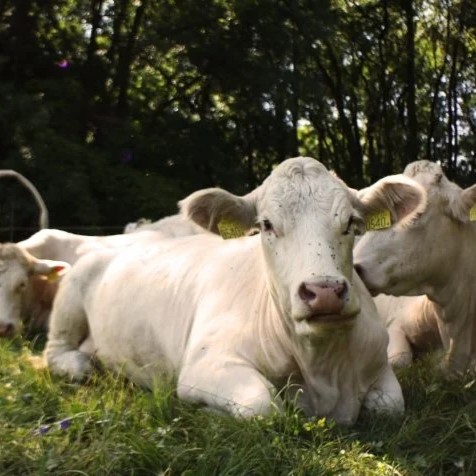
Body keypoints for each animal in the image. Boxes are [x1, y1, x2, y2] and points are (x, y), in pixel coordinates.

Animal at [45, 157, 420, 424]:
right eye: (267, 225)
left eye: (351, 224)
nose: (324, 291)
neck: (324, 369)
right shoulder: (203, 366)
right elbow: (263, 406)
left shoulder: (379, 361)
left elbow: (390, 405)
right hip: (70, 298)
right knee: (54, 350)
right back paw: (79, 364)